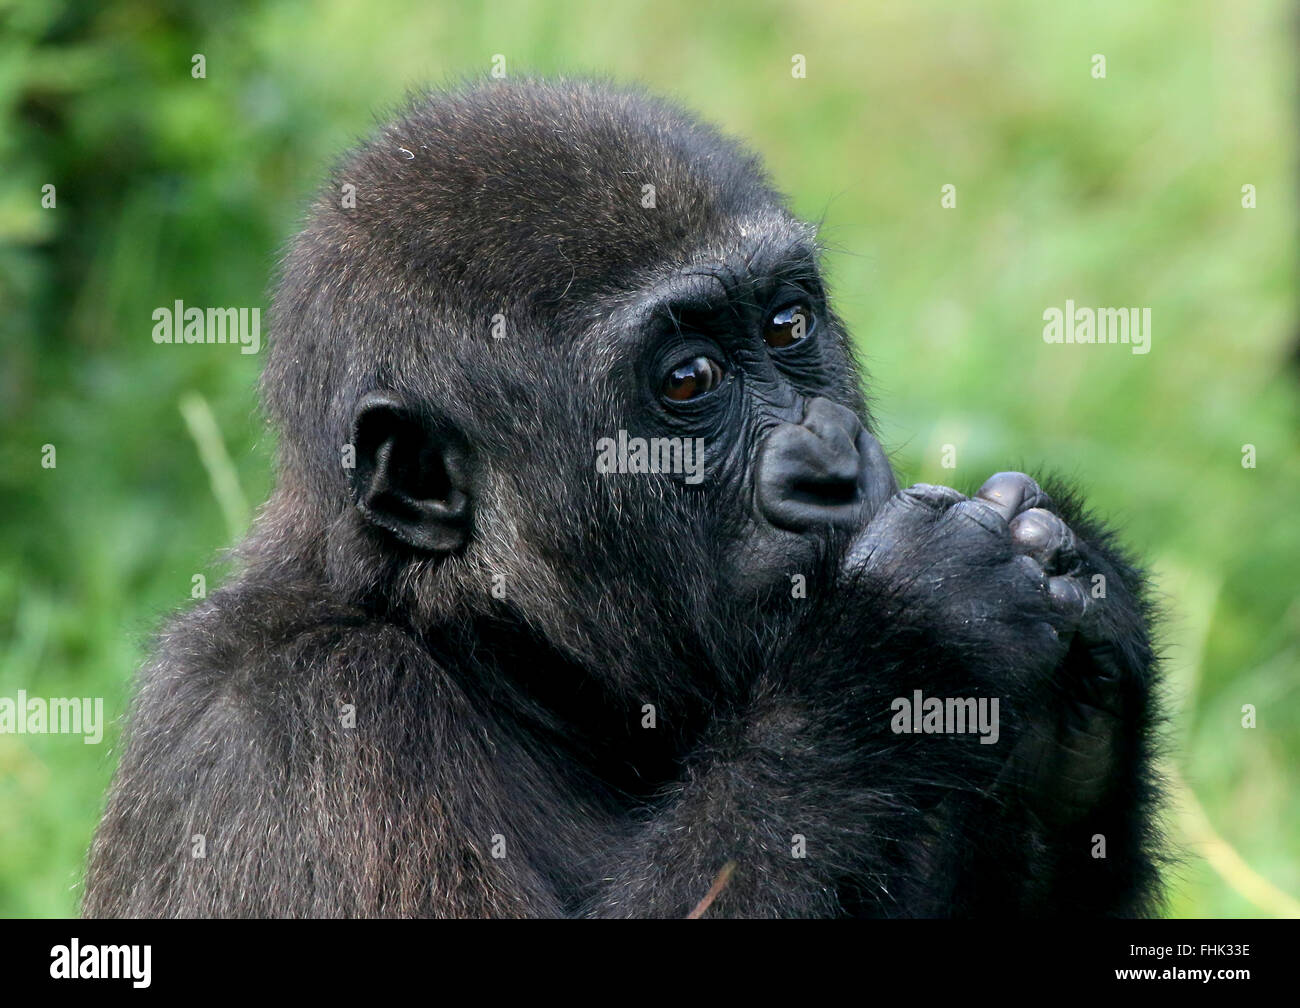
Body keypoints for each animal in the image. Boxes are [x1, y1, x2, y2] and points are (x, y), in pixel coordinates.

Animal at [81, 76, 1164, 915]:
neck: (471, 643)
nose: (833, 464)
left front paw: (1078, 672)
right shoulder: (305, 721)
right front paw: (897, 641)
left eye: (787, 324)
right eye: (687, 382)